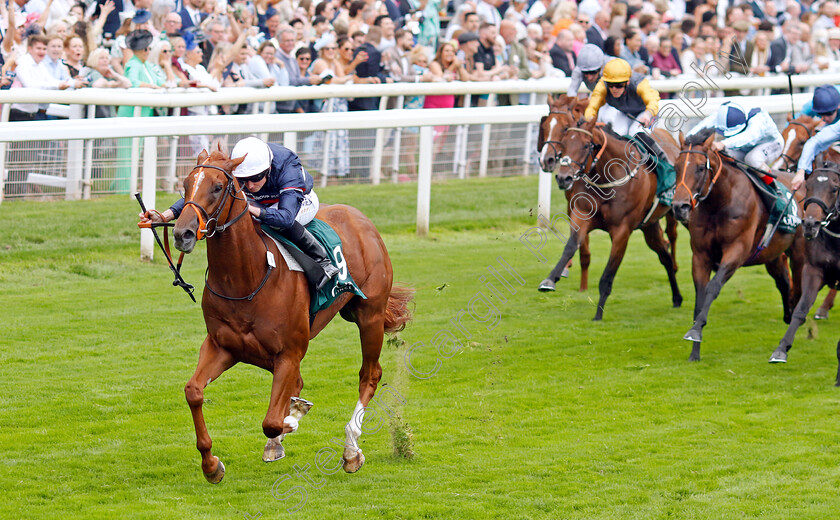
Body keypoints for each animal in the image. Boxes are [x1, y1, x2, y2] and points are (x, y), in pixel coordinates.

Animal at [171, 147, 414, 484]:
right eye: (185, 185)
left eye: (218, 187)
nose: (182, 233)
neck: (246, 278)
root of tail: (360, 217)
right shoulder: (223, 347)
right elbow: (194, 392)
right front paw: (211, 464)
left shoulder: (289, 352)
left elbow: (273, 420)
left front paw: (293, 418)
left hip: (371, 316)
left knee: (370, 374)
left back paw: (351, 450)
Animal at [668, 128, 808, 360]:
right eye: (676, 167)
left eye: (700, 167)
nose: (680, 206)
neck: (720, 202)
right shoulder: (701, 255)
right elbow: (700, 296)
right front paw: (694, 350)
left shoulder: (736, 251)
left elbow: (713, 287)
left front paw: (696, 330)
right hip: (772, 254)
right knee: (783, 281)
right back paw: (788, 315)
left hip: (799, 252)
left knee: (797, 285)